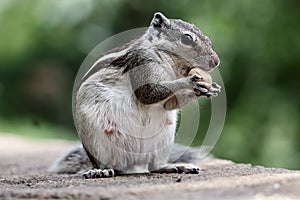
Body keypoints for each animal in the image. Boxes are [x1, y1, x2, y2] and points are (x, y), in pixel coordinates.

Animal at [49, 12, 220, 178]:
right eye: (187, 38)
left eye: (208, 39)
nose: (216, 61)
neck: (171, 62)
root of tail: (133, 161)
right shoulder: (142, 61)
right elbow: (147, 93)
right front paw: (191, 82)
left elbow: (169, 104)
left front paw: (210, 89)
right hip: (97, 142)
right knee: (107, 165)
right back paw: (100, 171)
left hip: (163, 140)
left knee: (154, 167)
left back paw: (177, 166)